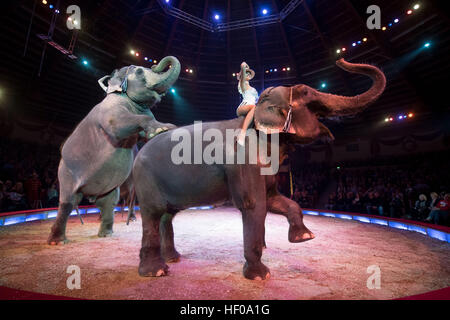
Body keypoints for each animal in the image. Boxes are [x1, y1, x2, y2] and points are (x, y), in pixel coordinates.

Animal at [48, 56, 181, 244]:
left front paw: (167, 129)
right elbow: (117, 125)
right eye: (139, 71)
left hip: (106, 188)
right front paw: (163, 129)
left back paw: (106, 234)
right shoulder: (110, 109)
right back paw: (57, 241)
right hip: (66, 172)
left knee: (108, 202)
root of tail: (89, 194)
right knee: (68, 202)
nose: (156, 63)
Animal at [131, 58, 386, 278]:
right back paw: (156, 271)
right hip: (147, 180)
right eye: (305, 93)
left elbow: (276, 200)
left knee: (167, 216)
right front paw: (259, 275)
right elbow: (255, 204)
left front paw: (304, 237)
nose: (340, 59)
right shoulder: (245, 161)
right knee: (152, 215)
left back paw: (173, 259)